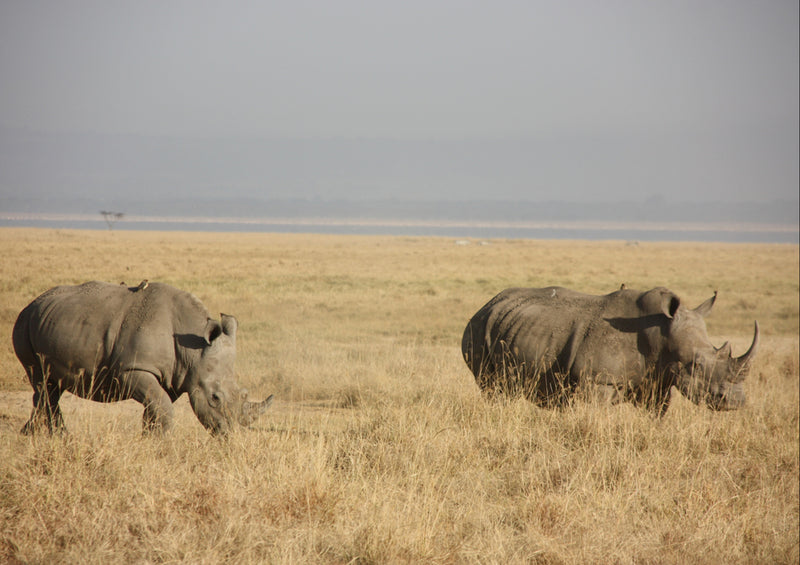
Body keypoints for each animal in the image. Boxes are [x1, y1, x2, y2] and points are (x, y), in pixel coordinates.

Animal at [11, 280, 276, 434]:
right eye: (215, 398)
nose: (231, 435)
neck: (193, 350)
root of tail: (32, 303)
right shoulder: (132, 368)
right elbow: (163, 407)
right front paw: (164, 447)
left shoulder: (175, 376)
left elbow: (156, 408)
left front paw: (151, 442)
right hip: (24, 325)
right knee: (42, 382)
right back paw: (56, 436)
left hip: (47, 322)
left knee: (50, 387)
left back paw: (34, 434)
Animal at [460, 286, 760, 410]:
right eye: (696, 365)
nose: (735, 402)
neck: (662, 334)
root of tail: (488, 303)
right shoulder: (599, 381)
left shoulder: (657, 381)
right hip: (478, 329)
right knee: (495, 389)